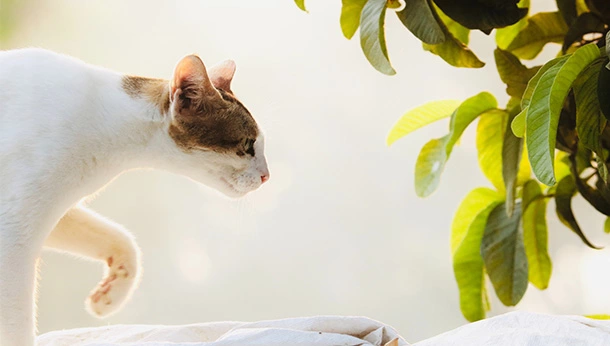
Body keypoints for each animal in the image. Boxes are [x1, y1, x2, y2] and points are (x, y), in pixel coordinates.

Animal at [0, 48, 268, 346]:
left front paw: (108, 296)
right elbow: (17, 324)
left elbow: (124, 241)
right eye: (247, 145)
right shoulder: (13, 232)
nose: (267, 175)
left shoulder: (54, 212)